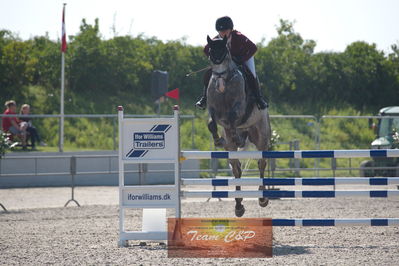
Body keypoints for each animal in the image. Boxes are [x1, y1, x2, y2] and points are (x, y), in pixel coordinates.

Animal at [206, 35, 272, 217]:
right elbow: (211, 123)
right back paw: (238, 206)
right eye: (211, 55)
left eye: (225, 54)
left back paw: (262, 199)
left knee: (261, 163)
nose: (220, 84)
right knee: (236, 169)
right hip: (232, 148)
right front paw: (218, 140)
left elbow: (233, 118)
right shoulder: (213, 110)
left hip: (261, 137)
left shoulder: (240, 109)